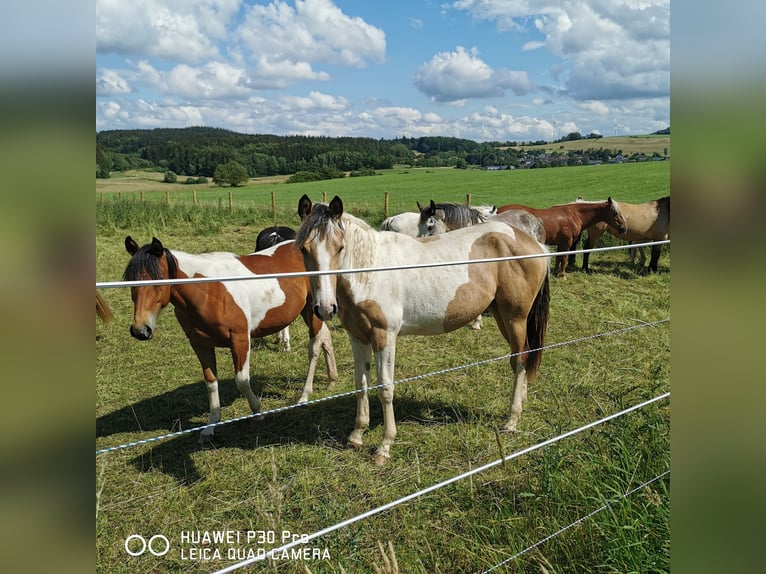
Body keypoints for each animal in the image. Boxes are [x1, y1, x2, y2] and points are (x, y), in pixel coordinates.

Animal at [123, 235, 338, 441]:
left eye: (158, 280)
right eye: (130, 282)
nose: (140, 330)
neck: (208, 290)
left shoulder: (240, 340)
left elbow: (241, 380)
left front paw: (257, 412)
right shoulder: (200, 344)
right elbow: (210, 382)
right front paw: (210, 427)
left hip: (312, 310)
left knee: (314, 348)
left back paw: (304, 396)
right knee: (325, 337)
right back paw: (332, 380)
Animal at [295, 196, 551, 464]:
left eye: (340, 248)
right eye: (304, 249)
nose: (325, 308)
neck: (371, 271)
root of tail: (534, 243)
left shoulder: (384, 337)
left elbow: (385, 387)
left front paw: (384, 446)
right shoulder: (358, 337)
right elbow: (361, 382)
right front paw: (356, 435)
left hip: (515, 317)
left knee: (520, 360)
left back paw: (512, 419)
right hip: (503, 316)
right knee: (522, 358)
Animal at [496, 198, 628, 278]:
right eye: (615, 213)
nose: (624, 228)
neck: (574, 214)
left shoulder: (560, 243)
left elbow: (558, 258)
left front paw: (555, 272)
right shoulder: (566, 242)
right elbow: (564, 258)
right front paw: (562, 274)